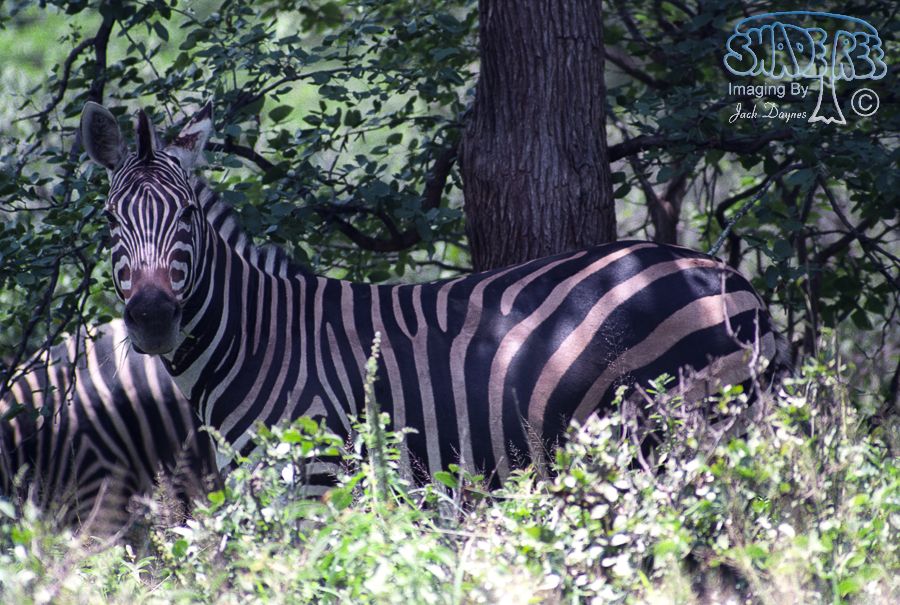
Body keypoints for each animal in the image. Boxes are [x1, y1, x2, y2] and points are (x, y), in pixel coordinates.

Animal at [79, 101, 778, 488]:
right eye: (110, 221)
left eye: (188, 217)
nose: (151, 318)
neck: (259, 339)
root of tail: (721, 273)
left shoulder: (318, 475)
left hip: (684, 433)